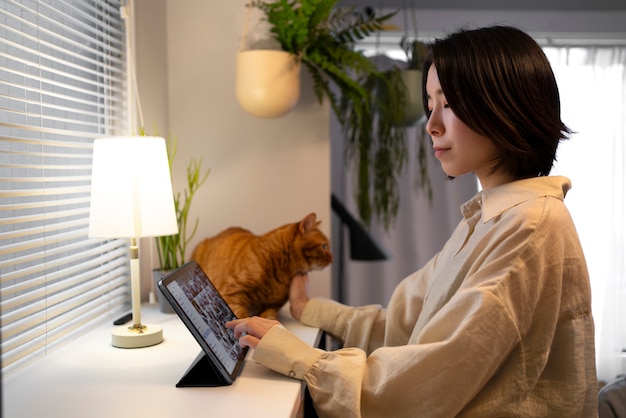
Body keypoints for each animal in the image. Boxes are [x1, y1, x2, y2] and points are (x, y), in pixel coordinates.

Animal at [191, 214, 332, 318]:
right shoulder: (231, 294)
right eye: (324, 246)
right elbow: (242, 318)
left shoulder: (272, 306)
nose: (332, 259)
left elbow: (269, 318)